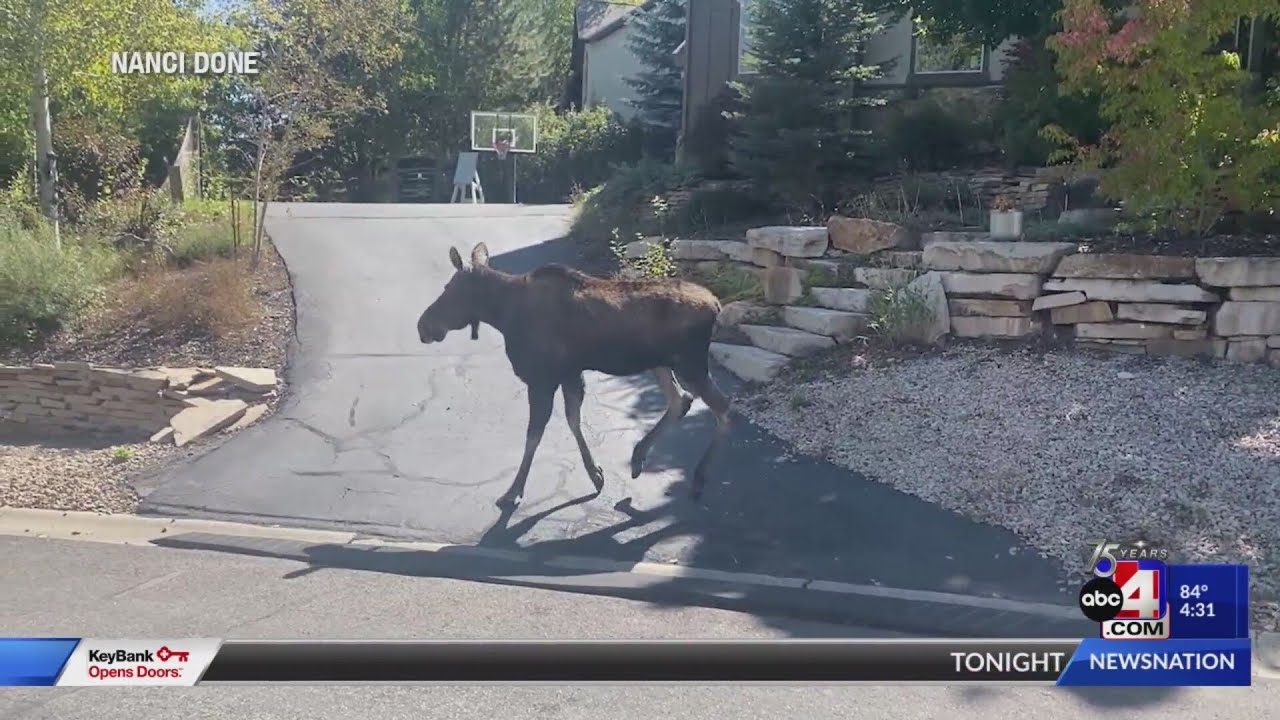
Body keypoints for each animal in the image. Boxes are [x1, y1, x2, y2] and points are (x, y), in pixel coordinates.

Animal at [416, 242, 732, 509]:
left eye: (449, 288)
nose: (423, 326)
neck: (503, 315)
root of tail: (717, 305)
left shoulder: (542, 378)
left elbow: (535, 434)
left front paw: (513, 491)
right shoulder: (569, 373)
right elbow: (572, 419)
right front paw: (596, 474)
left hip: (689, 364)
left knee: (721, 405)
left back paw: (698, 477)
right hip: (662, 363)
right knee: (681, 400)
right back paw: (639, 457)